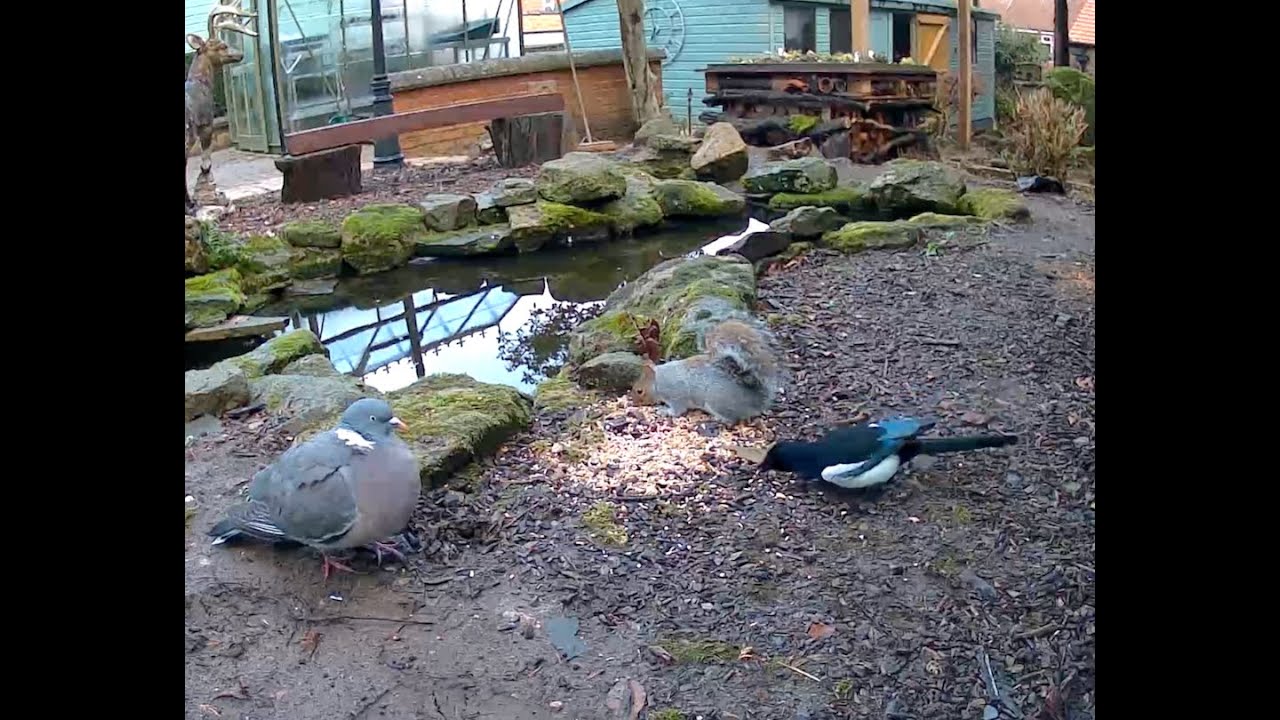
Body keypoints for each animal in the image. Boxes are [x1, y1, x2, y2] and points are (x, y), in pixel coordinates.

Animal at [629, 317, 784, 425]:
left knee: (733, 419)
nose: (633, 403)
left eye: (639, 391)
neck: (659, 380)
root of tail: (755, 402)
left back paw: (718, 420)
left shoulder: (676, 395)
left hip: (717, 402)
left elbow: (678, 410)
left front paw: (665, 411)